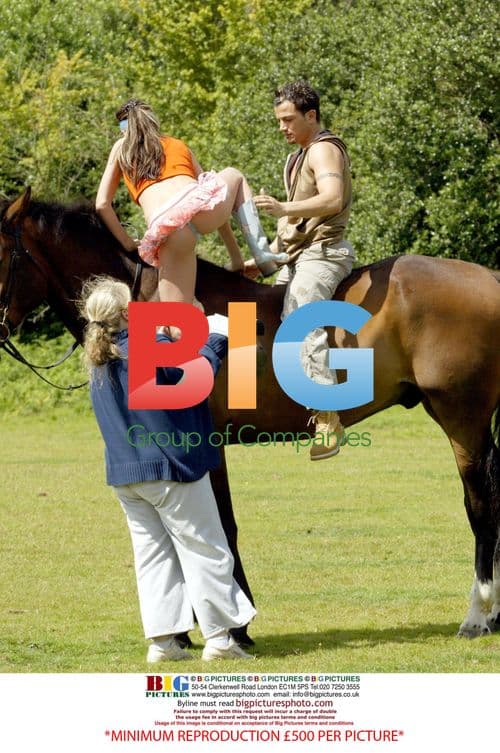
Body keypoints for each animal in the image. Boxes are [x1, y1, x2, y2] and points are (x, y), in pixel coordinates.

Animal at [1, 188, 499, 639]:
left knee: (481, 506)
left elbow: (219, 527)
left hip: (462, 418)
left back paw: (477, 614)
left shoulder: (202, 444)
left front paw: (232, 625)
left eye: (0, 253)